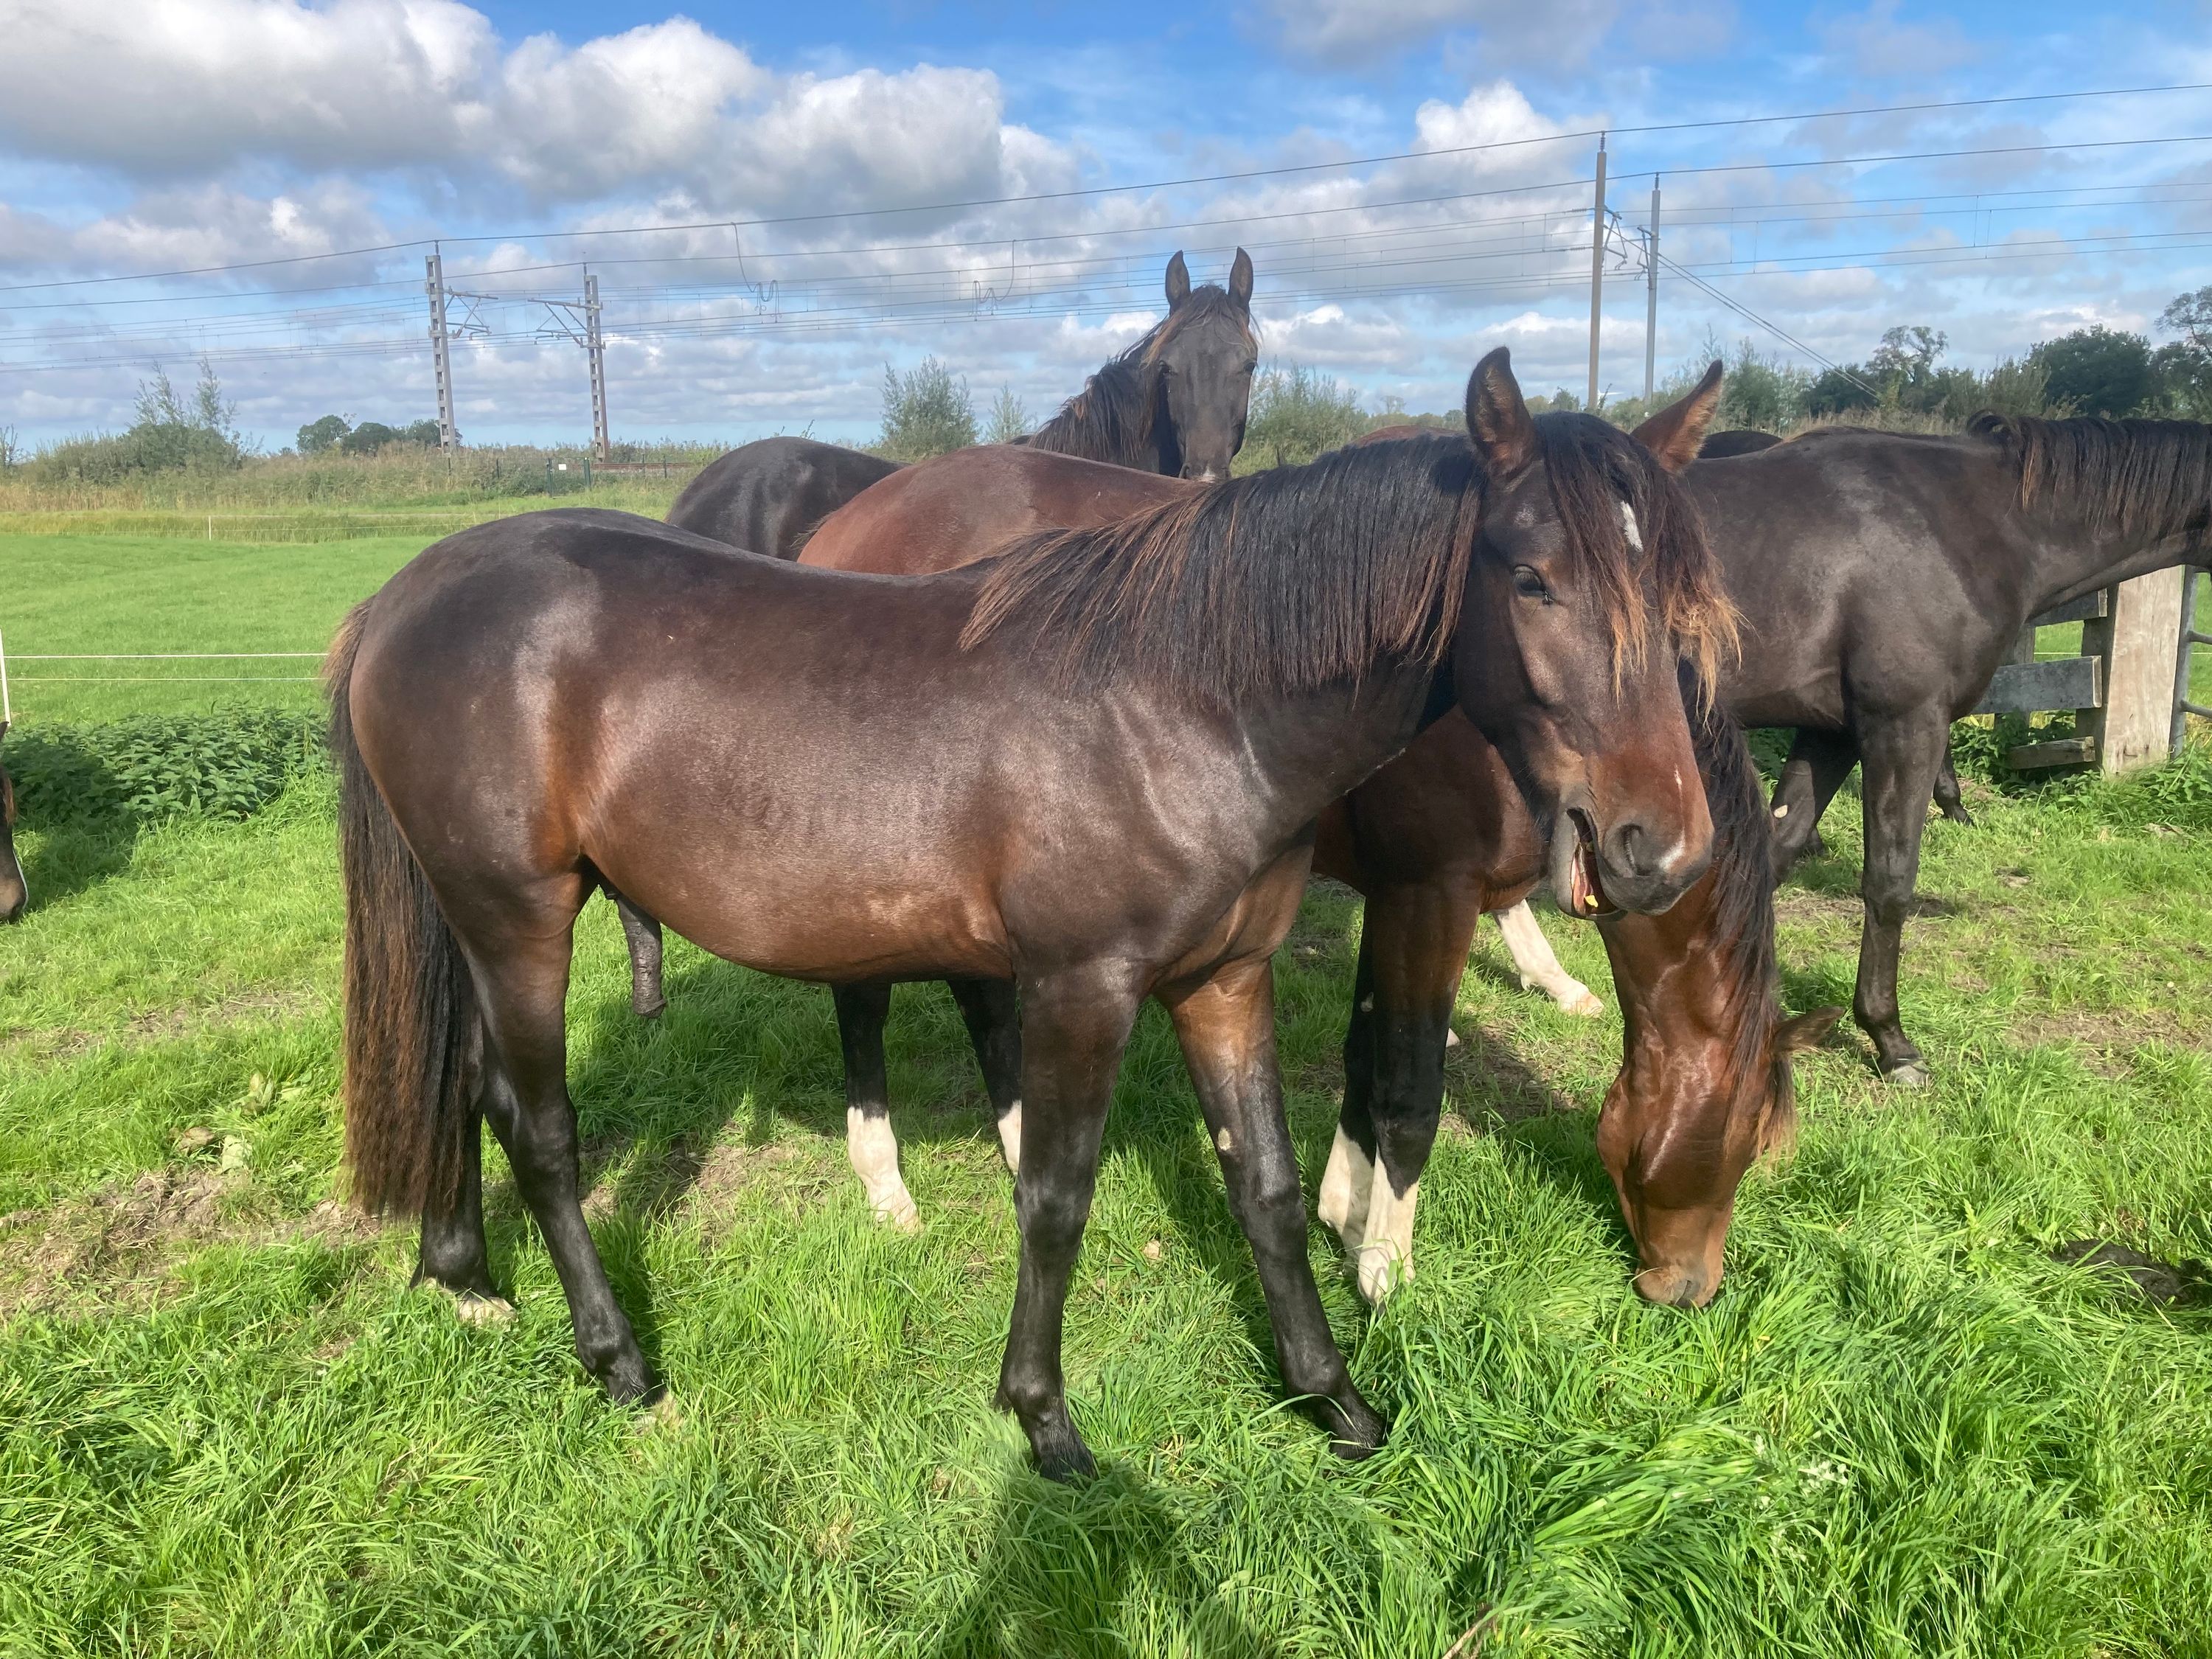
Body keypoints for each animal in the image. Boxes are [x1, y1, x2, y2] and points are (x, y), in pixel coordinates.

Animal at [328, 349, 1724, 1476]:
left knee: (464, 1086)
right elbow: (1055, 1197)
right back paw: (616, 1357)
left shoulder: (1227, 978)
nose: (1658, 847)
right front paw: (1046, 1420)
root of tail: (398, 598)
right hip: (520, 919)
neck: (1186, 699)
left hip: (481, 925)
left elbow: (1267, 1188)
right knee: (542, 1129)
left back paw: (468, 1285)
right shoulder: (1081, 986)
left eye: (1678, 596)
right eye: (1534, 579)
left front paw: (1333, 1400)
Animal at [1691, 415, 2212, 1083]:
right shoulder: (1905, 724)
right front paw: (1890, 1039)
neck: (1967, 522)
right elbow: (1890, 883)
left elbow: (1779, 850)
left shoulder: (1833, 731)